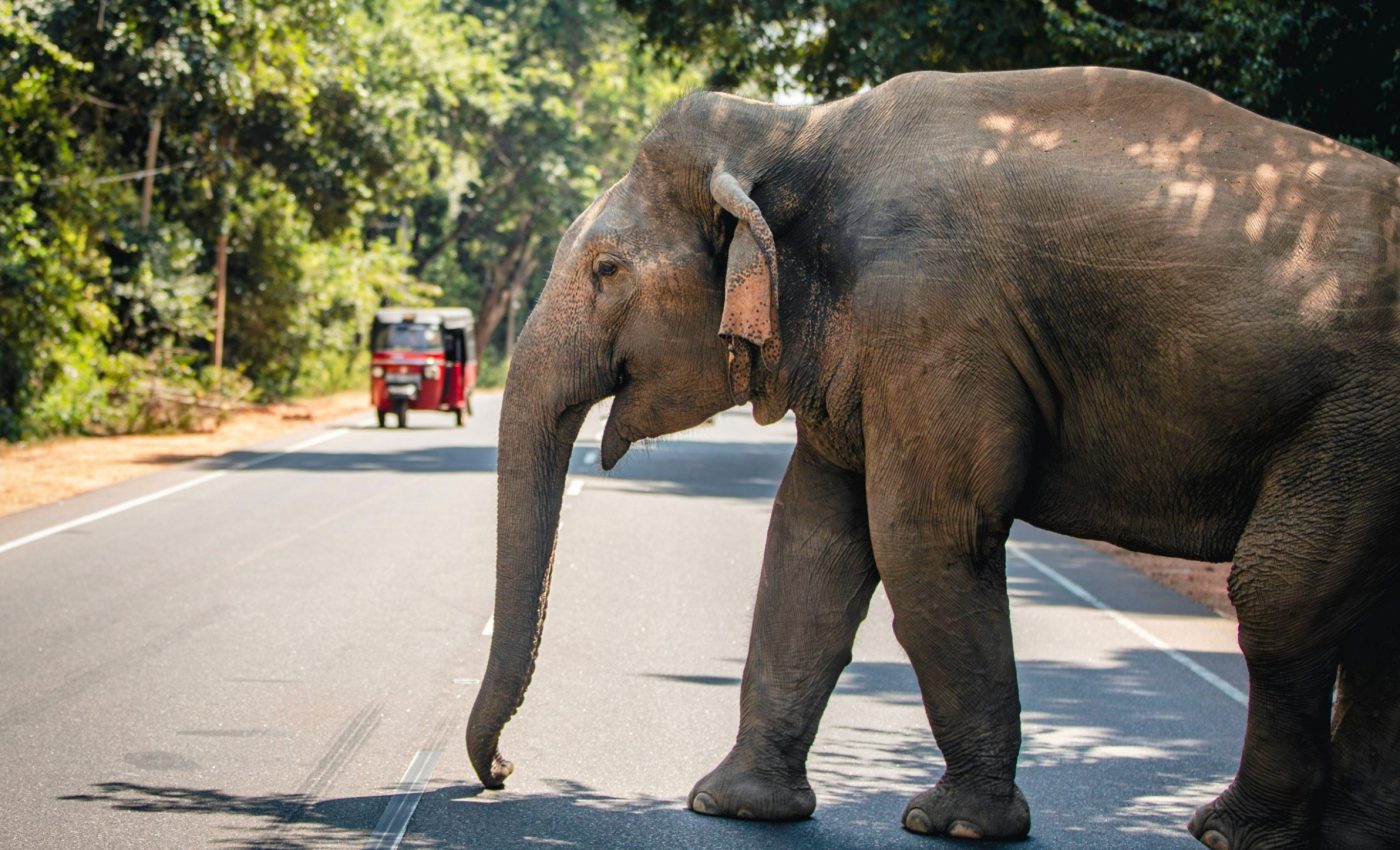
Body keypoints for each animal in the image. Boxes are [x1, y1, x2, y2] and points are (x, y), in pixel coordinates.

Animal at [466, 66, 1400, 849]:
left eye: (607, 269)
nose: (504, 773)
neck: (792, 131)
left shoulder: (930, 313)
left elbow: (923, 537)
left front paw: (951, 825)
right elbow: (811, 539)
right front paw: (730, 807)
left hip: (1358, 420)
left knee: (1278, 598)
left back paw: (1232, 832)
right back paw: (1354, 836)